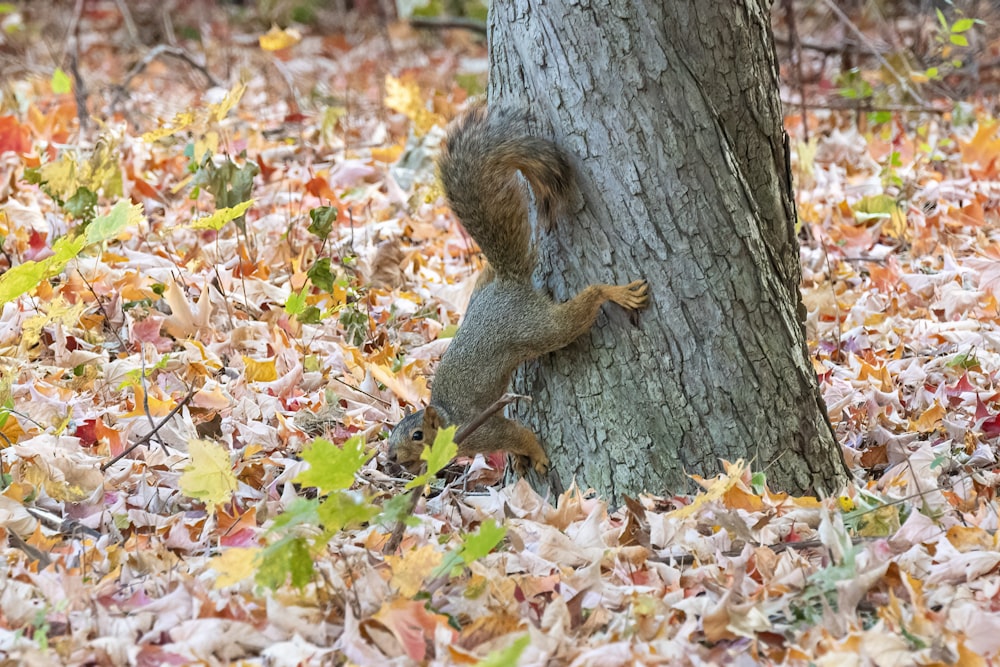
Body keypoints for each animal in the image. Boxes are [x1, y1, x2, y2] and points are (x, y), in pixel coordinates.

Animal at [386, 105, 652, 474]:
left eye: (417, 436)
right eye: (392, 434)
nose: (390, 458)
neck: (449, 424)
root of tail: (509, 282)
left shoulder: (483, 430)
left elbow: (519, 434)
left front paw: (536, 456)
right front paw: (521, 461)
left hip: (534, 328)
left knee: (575, 314)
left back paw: (613, 293)